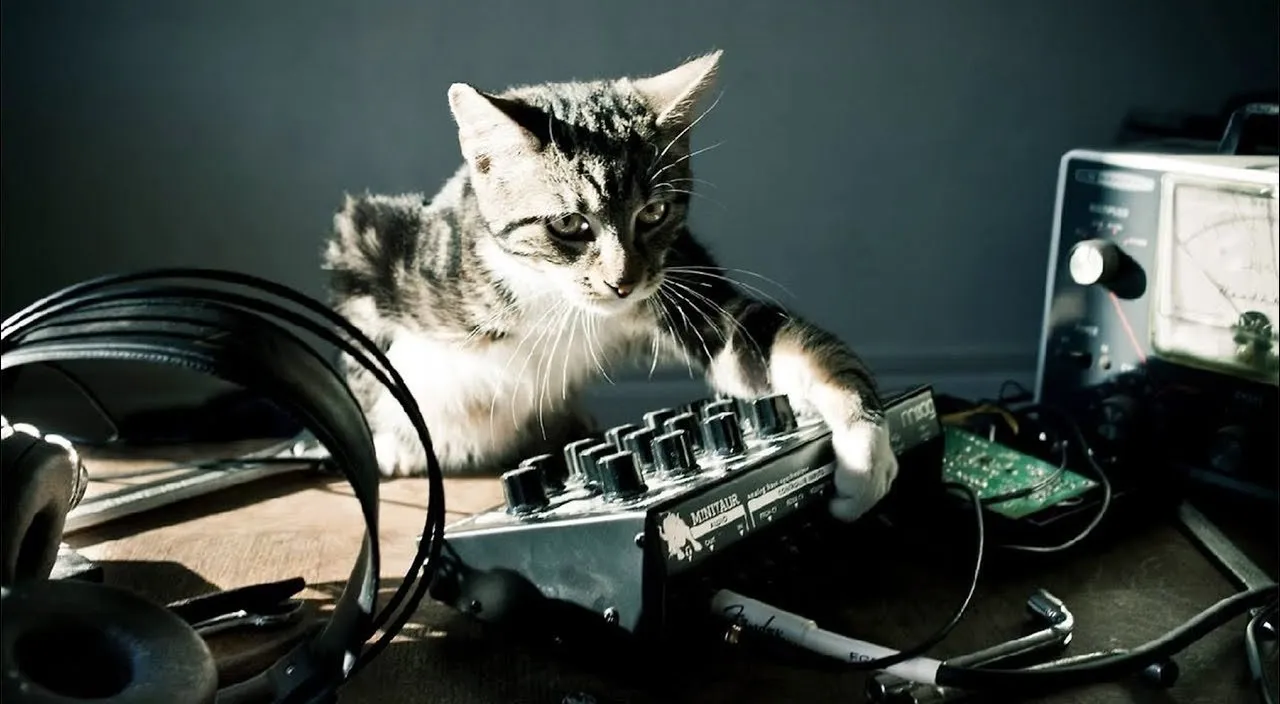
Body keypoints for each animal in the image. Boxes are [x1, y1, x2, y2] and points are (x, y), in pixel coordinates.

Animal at [325, 52, 896, 522]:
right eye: (568, 224)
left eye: (655, 213)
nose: (623, 283)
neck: (550, 293)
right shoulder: (372, 240)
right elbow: (353, 341)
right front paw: (389, 443)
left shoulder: (678, 282)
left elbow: (770, 342)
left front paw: (865, 446)